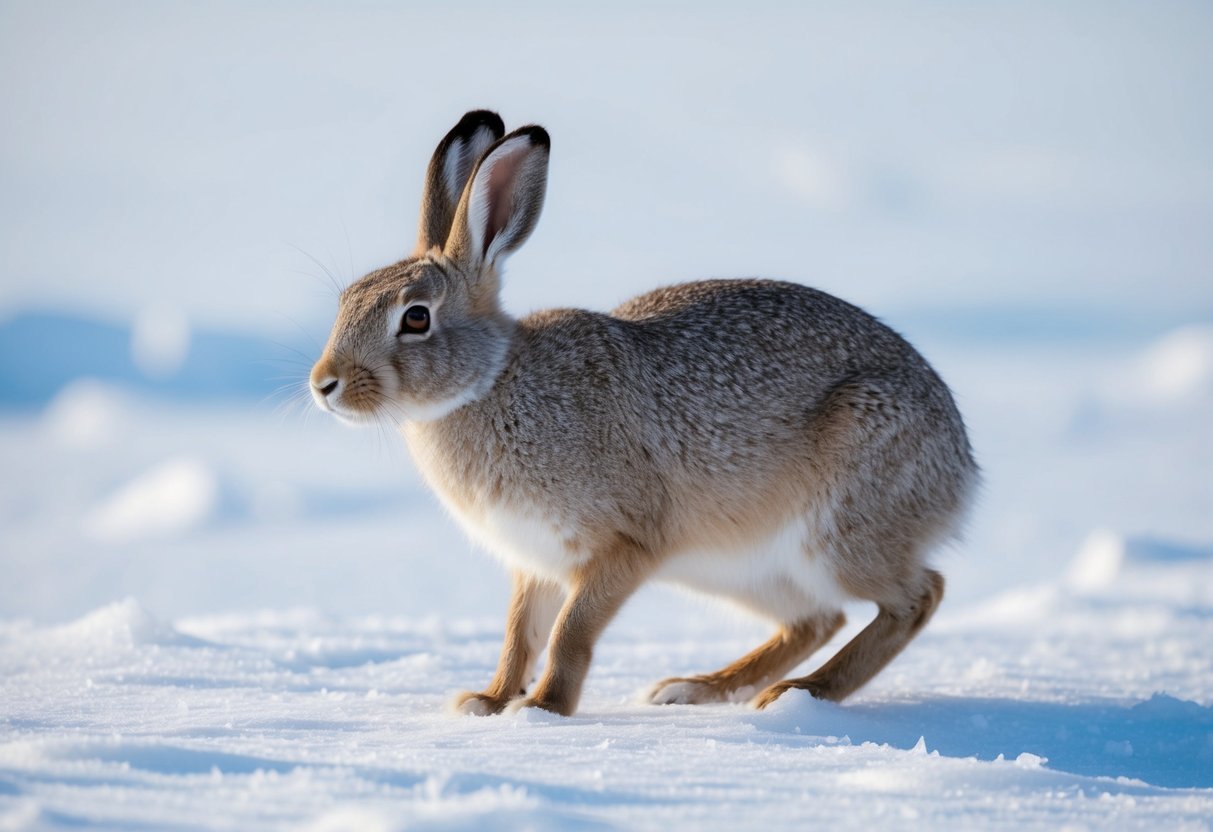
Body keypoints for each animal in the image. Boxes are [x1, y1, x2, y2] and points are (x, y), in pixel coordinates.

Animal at [310, 109, 978, 717]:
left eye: (416, 317)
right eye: (346, 300)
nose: (324, 385)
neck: (491, 383)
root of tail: (961, 468)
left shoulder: (623, 546)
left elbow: (569, 633)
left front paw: (543, 709)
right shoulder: (533, 563)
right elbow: (518, 636)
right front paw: (488, 701)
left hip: (839, 524)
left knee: (917, 597)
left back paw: (800, 694)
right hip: (744, 570)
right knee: (817, 619)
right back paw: (698, 687)